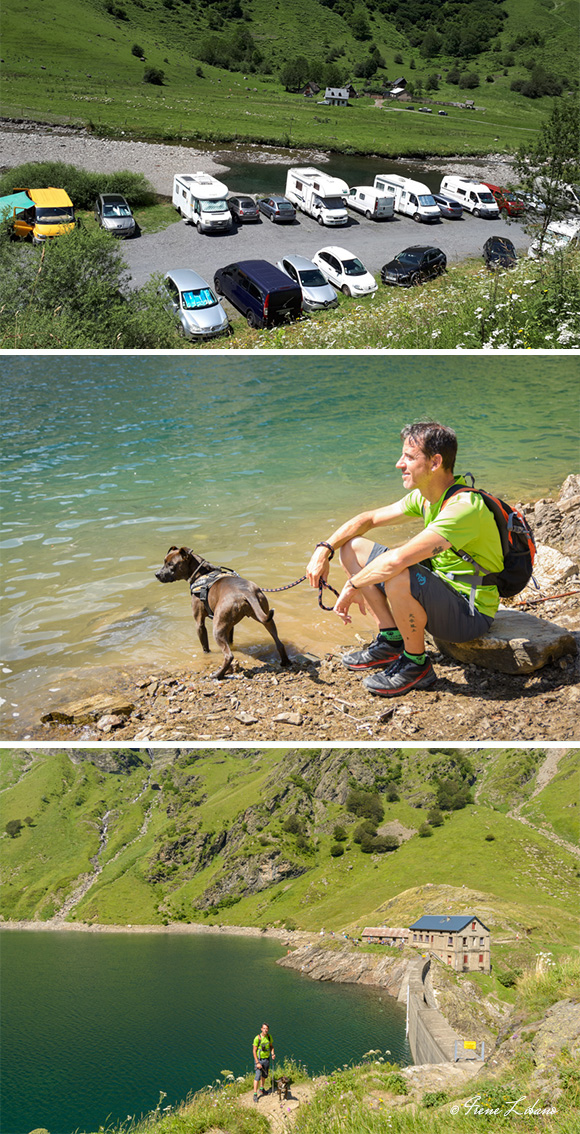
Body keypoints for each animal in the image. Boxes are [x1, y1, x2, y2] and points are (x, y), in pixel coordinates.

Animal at [155, 544, 290, 675]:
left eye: (171, 564)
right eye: (164, 561)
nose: (156, 574)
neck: (201, 574)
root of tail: (246, 592)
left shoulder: (199, 623)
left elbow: (205, 646)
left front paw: (207, 655)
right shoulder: (230, 626)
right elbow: (230, 640)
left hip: (217, 629)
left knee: (228, 655)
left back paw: (218, 675)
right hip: (266, 618)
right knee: (279, 643)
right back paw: (285, 662)